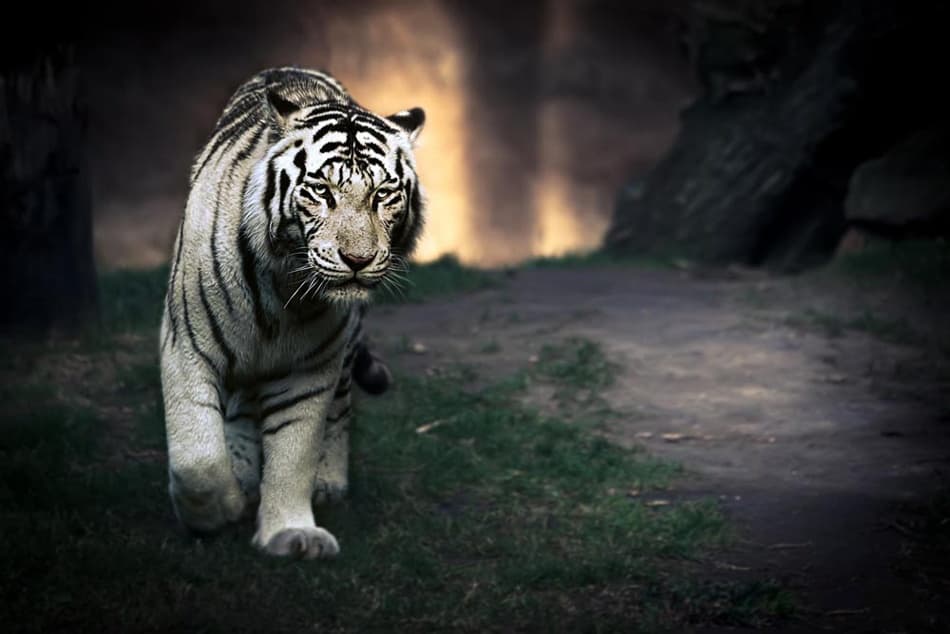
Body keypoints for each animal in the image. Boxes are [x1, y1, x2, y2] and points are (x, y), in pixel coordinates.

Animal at [159, 67, 425, 559]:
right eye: (321, 191)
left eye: (383, 194)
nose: (357, 259)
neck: (282, 289)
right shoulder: (187, 345)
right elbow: (197, 457)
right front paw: (219, 509)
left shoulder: (310, 367)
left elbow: (294, 451)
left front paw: (290, 533)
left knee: (340, 408)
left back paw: (328, 482)